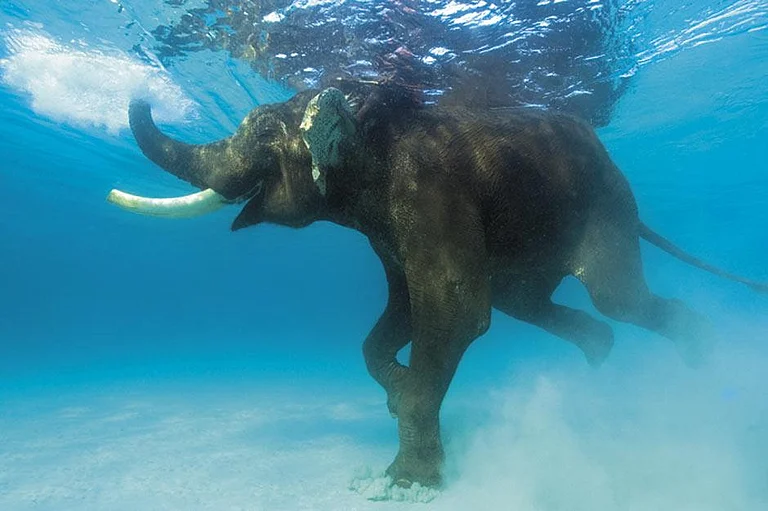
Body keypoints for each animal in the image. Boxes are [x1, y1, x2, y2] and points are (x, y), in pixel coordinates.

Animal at [108, 84, 767, 489]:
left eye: (267, 130)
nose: (139, 96)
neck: (368, 120)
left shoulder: (429, 194)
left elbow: (454, 310)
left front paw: (406, 480)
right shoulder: (391, 230)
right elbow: (400, 315)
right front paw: (396, 388)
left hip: (605, 209)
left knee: (615, 297)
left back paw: (703, 353)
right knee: (524, 300)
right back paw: (600, 355)